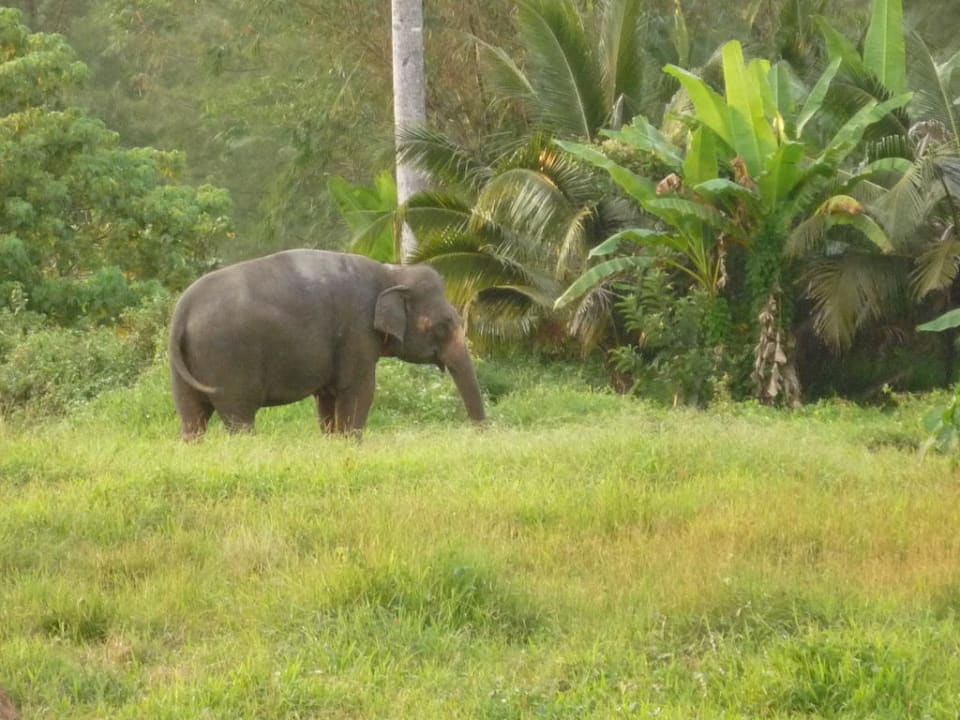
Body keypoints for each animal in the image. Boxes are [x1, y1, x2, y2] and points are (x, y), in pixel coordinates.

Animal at [168, 249, 485, 440]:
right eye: (443, 325)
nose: (479, 433)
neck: (392, 273)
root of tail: (183, 310)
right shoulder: (357, 331)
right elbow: (359, 391)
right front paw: (351, 443)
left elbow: (328, 397)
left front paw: (333, 442)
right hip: (228, 361)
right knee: (239, 417)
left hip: (186, 366)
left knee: (192, 417)